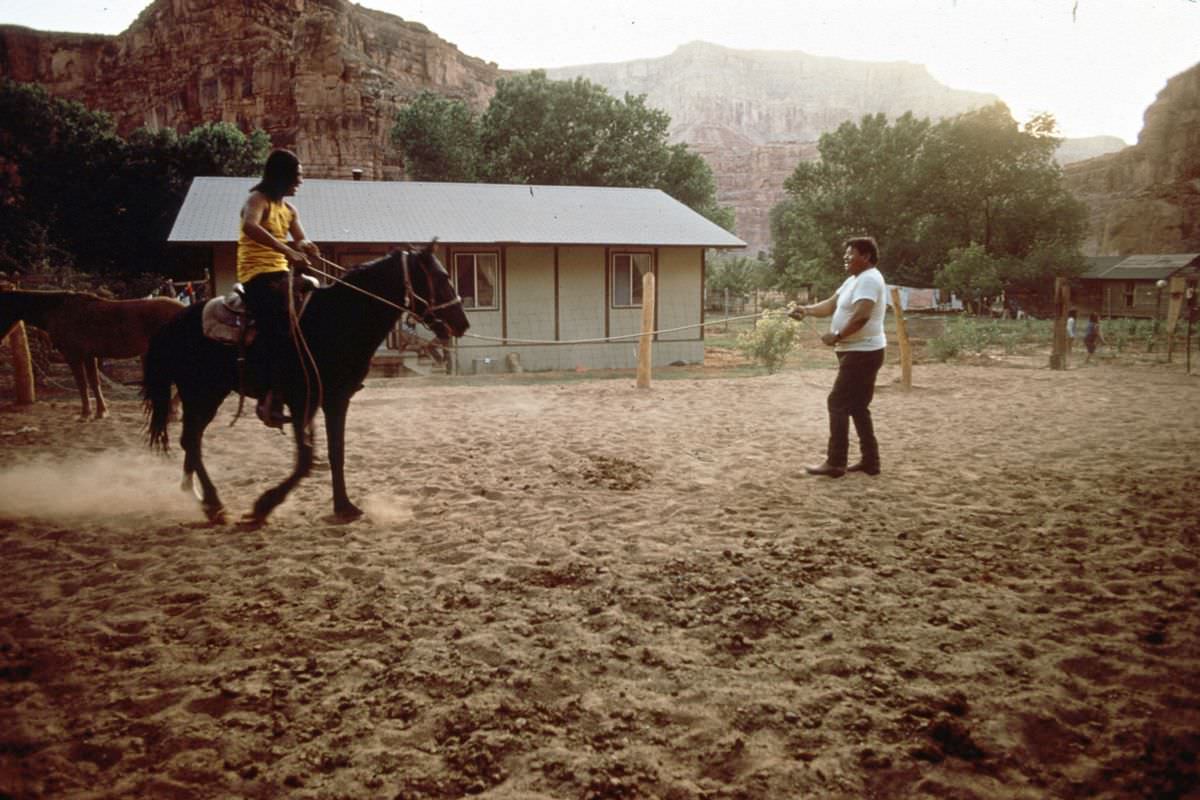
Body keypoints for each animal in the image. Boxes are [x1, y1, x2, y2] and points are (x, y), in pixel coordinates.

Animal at [0, 291, 184, 422]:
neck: (59, 311)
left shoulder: (74, 356)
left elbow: (82, 385)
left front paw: (85, 414)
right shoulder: (90, 356)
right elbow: (94, 383)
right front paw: (101, 412)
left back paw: (173, 411)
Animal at [142, 248, 470, 525]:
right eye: (441, 277)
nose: (462, 323)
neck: (337, 322)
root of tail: (173, 323)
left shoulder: (335, 399)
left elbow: (335, 452)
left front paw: (344, 506)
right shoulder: (302, 402)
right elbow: (305, 460)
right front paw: (263, 506)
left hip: (205, 396)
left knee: (191, 441)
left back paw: (198, 496)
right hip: (202, 394)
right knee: (191, 441)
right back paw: (213, 503)